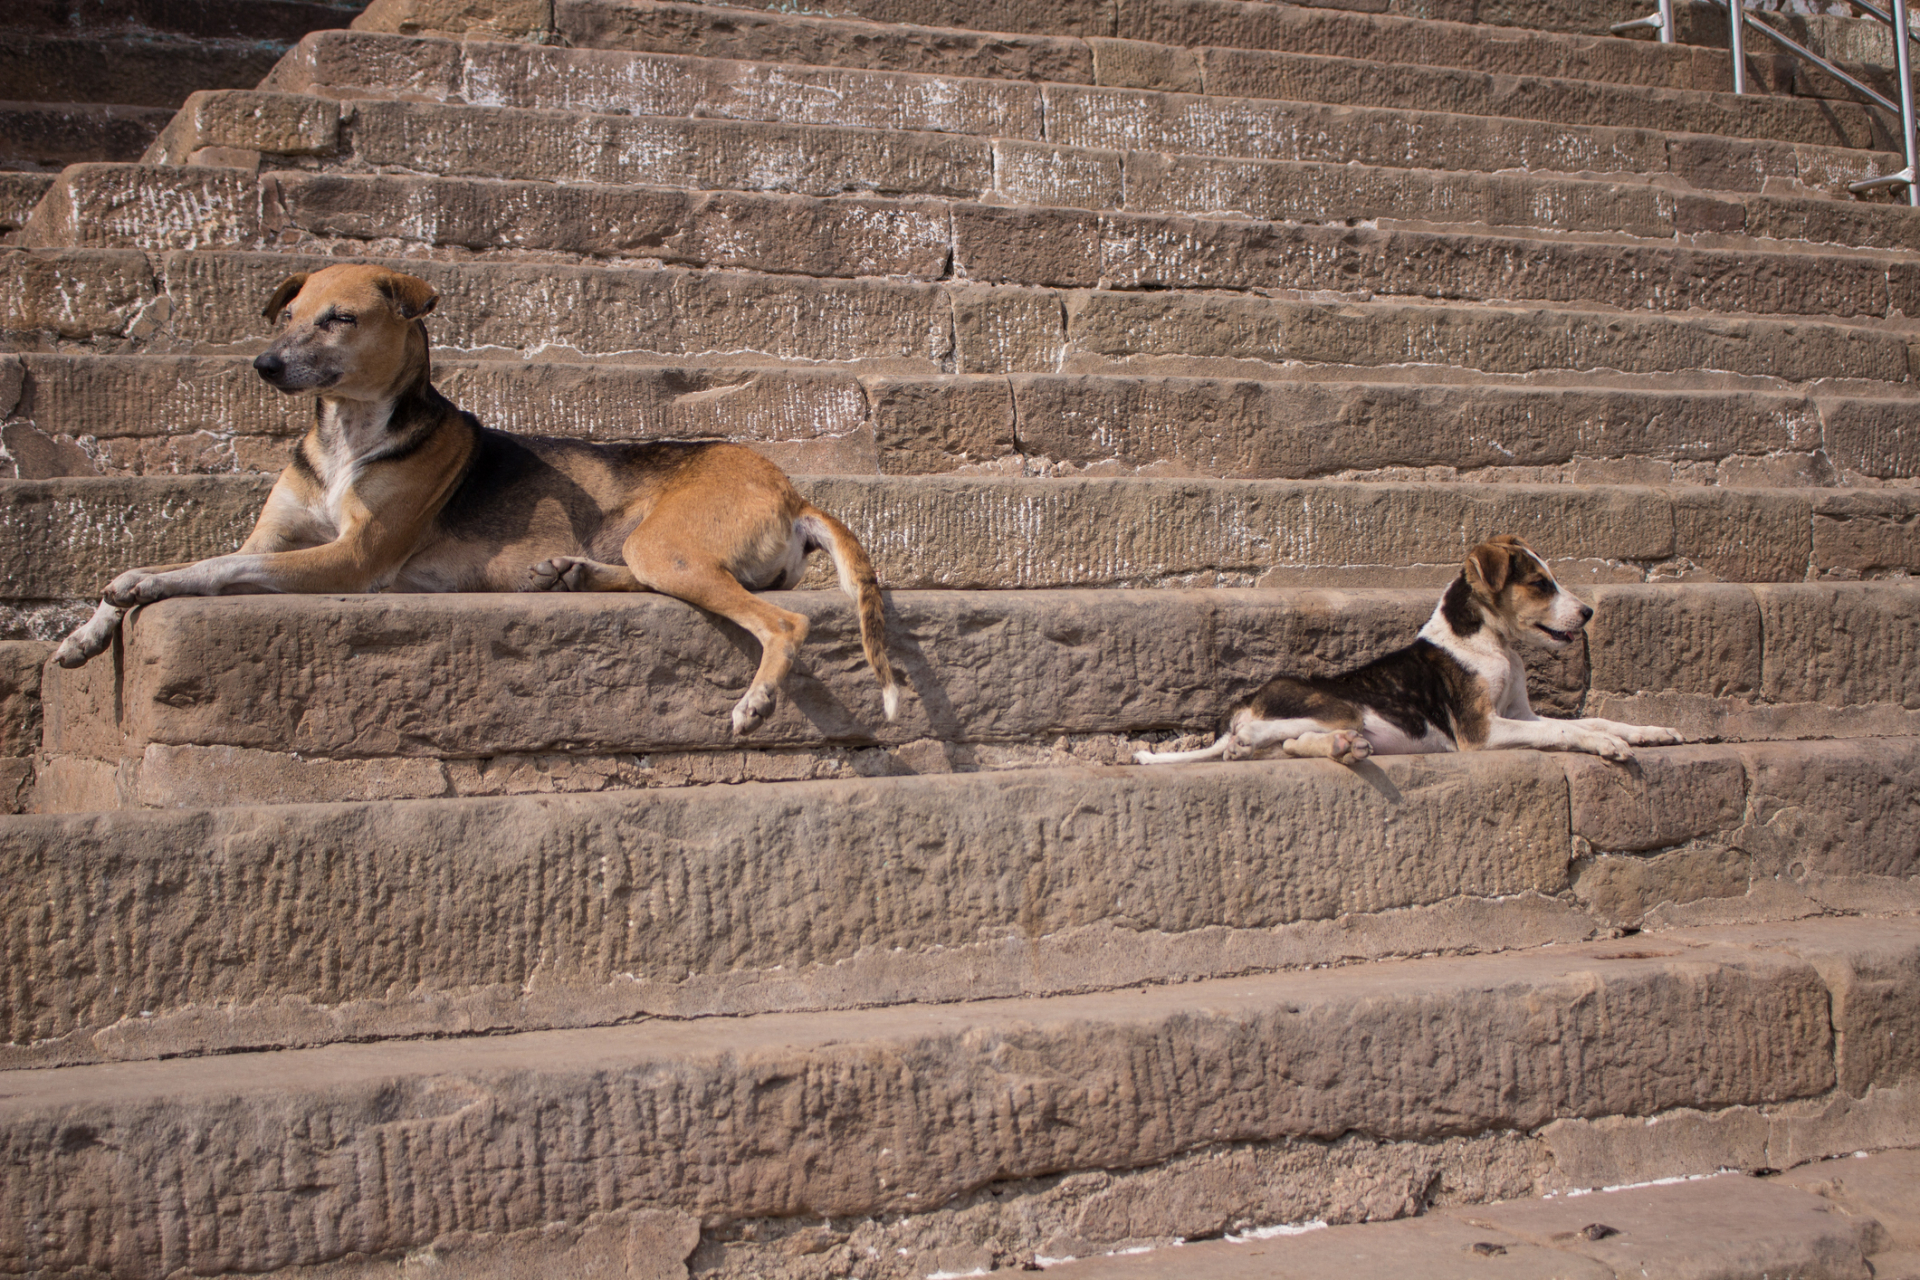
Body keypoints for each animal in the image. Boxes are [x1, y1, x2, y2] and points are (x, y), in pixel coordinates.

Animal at [50, 264, 906, 736]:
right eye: (287, 316)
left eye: (339, 319)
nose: (263, 365)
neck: (346, 435)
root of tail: (791, 488)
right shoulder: (273, 539)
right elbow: (199, 559)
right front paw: (88, 629)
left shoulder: (353, 558)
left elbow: (209, 569)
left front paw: (139, 585)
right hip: (655, 548)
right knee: (652, 577)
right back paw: (569, 573)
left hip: (671, 546)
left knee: (784, 622)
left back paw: (755, 700)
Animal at [1136, 537, 1681, 767]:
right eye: (1540, 584)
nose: (1588, 613)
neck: (1488, 643)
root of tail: (1242, 703)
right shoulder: (1482, 731)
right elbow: (1565, 732)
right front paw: (1606, 746)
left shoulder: (1520, 713)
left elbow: (1592, 720)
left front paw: (1649, 732)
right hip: (1343, 706)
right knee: (1267, 735)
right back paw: (1256, 739)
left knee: (1290, 745)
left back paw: (1342, 749)